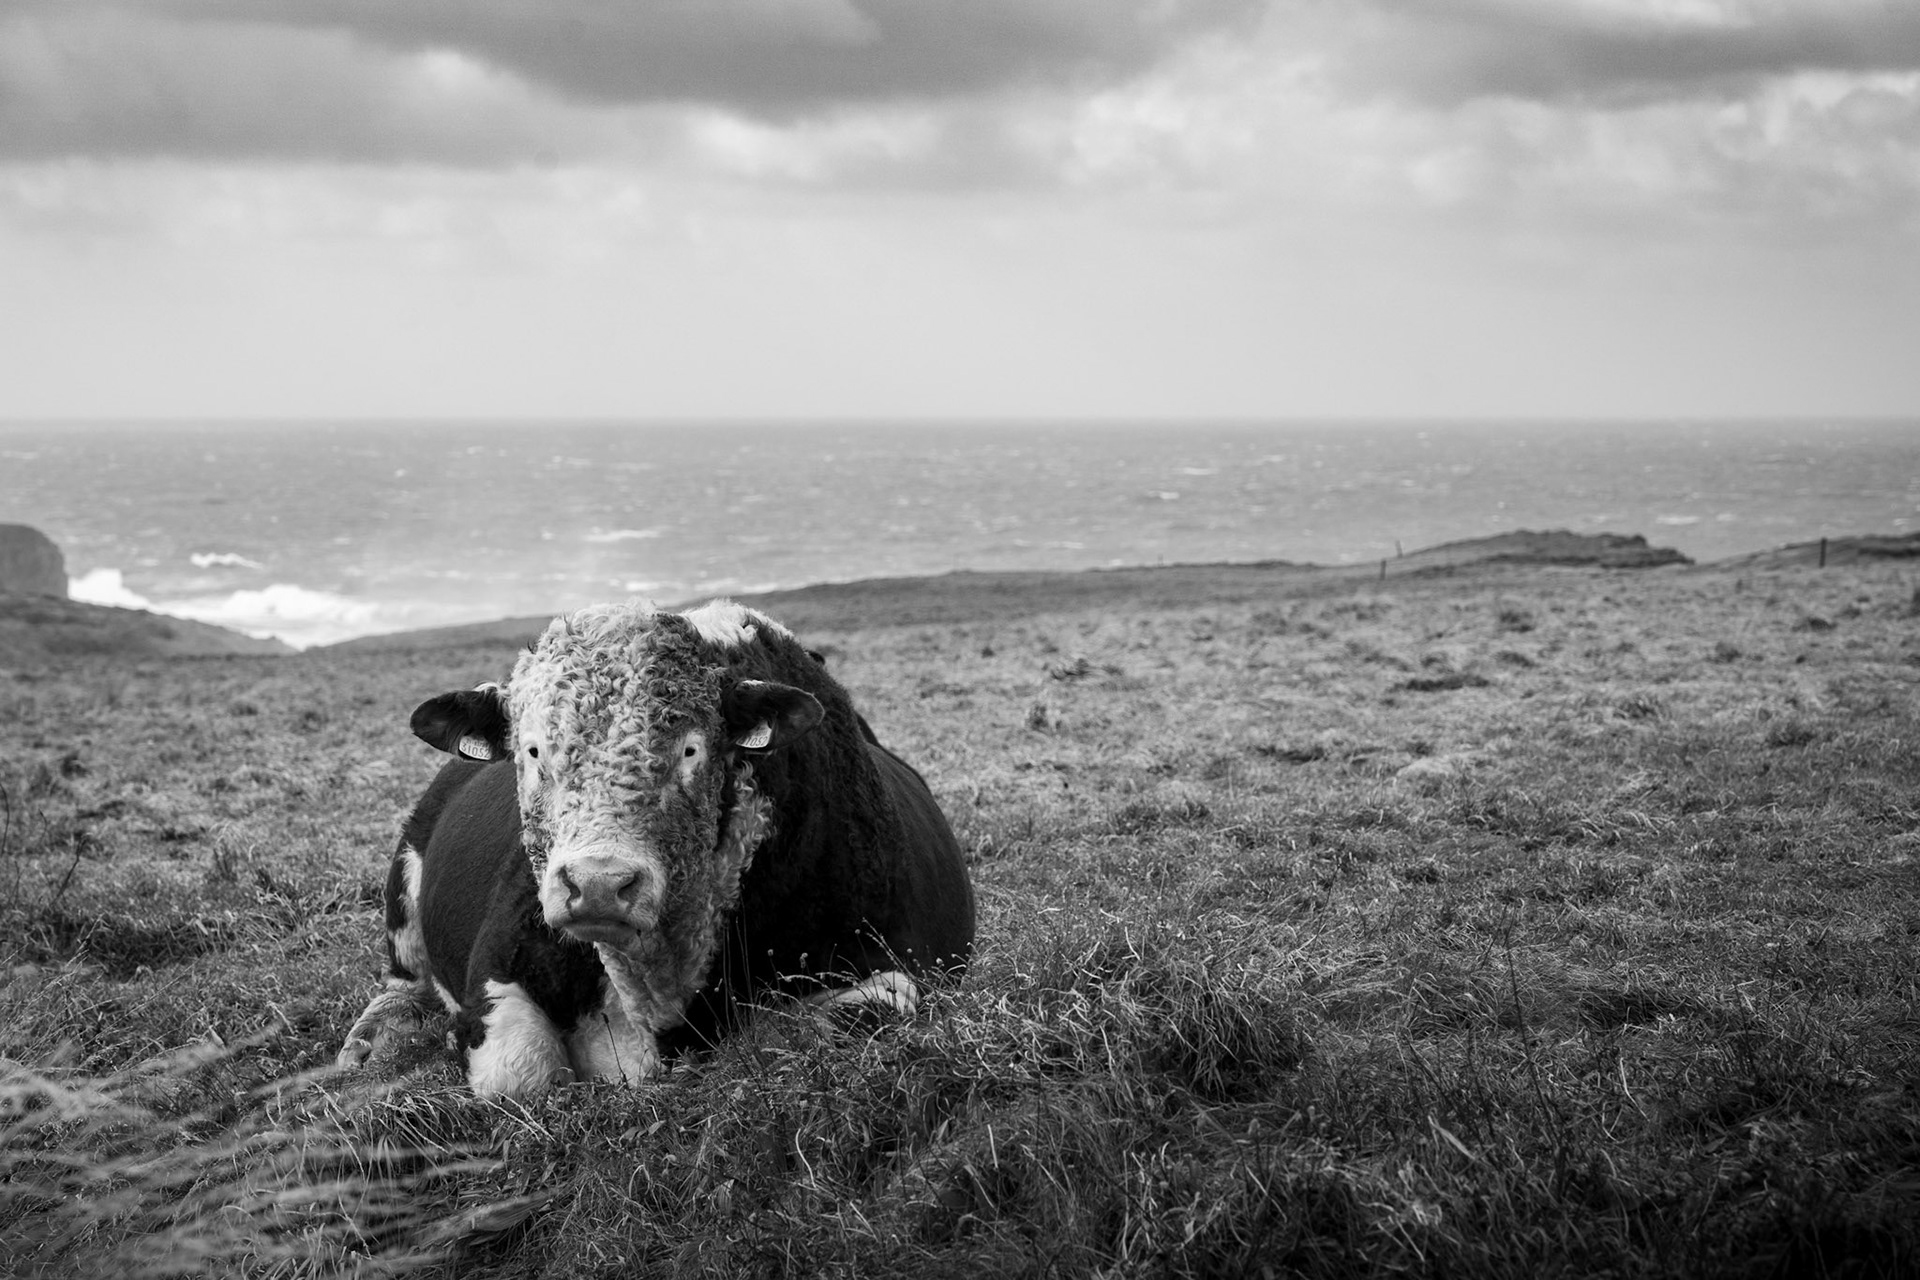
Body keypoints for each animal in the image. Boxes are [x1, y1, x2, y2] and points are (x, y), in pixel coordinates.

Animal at [335, 599, 976, 1098]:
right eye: (534, 750)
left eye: (692, 749)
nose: (597, 884)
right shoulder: (497, 969)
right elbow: (517, 1074)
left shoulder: (884, 965)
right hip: (404, 883)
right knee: (403, 984)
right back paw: (369, 1042)